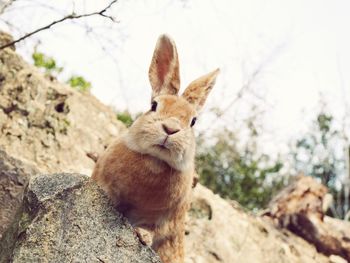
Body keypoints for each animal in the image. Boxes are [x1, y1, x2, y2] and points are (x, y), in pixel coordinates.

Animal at [93, 35, 219, 263]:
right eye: (154, 106)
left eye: (193, 121)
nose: (171, 129)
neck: (154, 161)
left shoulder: (166, 220)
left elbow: (153, 230)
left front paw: (142, 236)